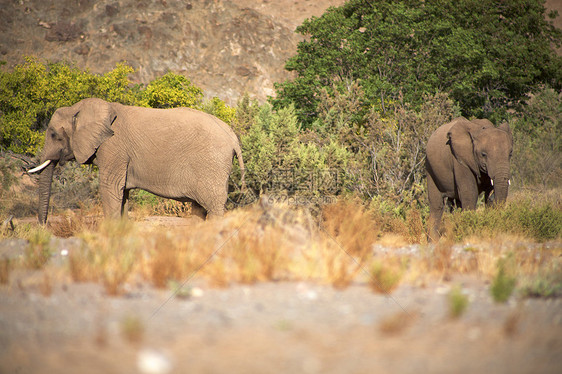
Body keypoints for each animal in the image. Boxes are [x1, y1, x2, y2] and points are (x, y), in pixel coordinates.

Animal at [27, 98, 243, 224]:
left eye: (53, 135)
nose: (43, 226)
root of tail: (233, 136)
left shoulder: (113, 148)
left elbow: (110, 188)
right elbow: (122, 193)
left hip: (211, 164)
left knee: (213, 207)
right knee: (199, 209)